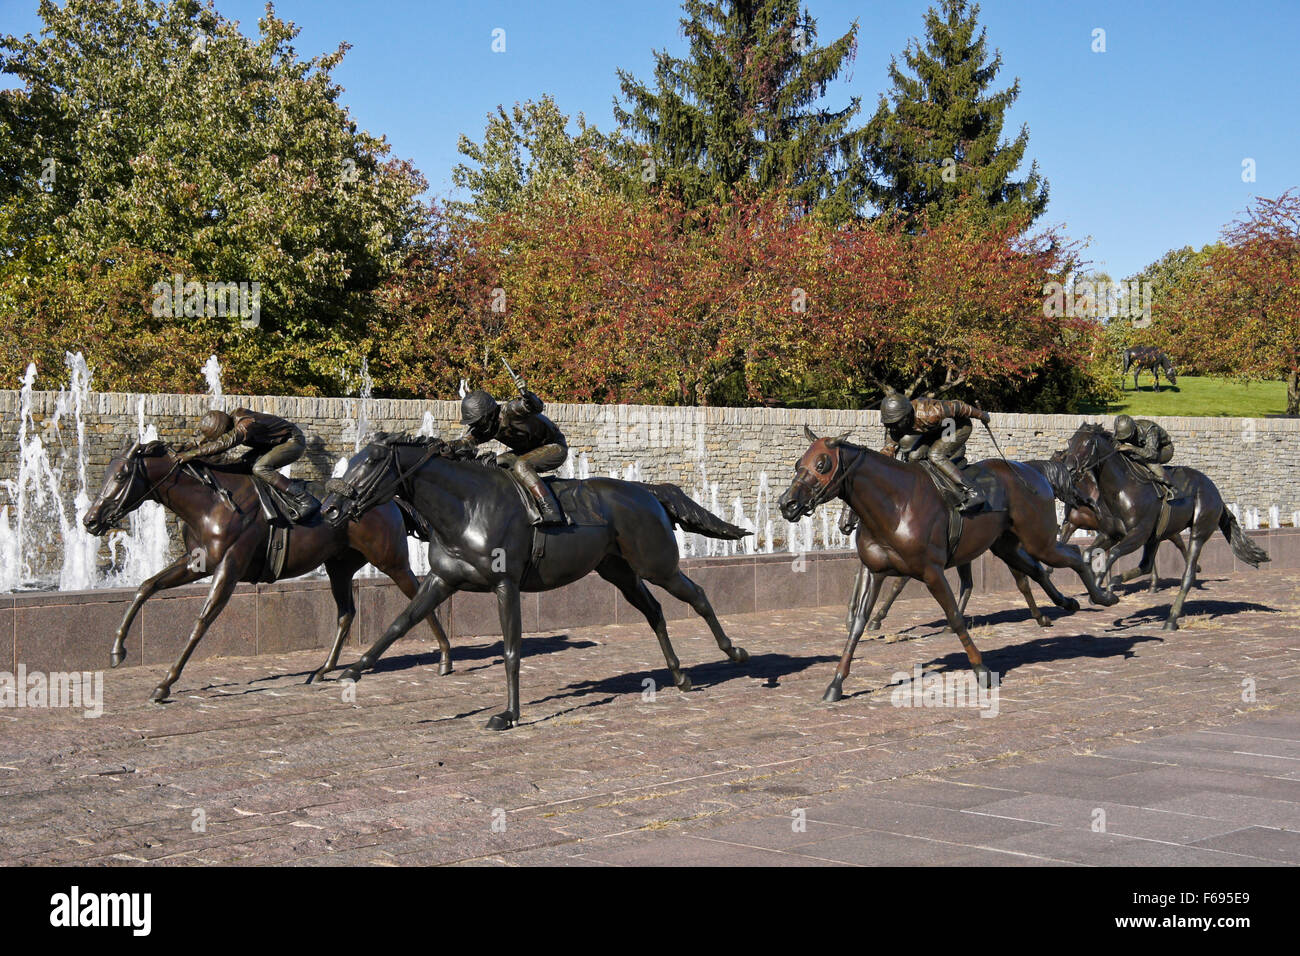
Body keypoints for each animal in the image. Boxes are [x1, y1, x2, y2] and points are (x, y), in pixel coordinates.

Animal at [82, 442, 452, 702]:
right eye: (106, 474)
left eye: (120, 475)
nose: (90, 520)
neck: (210, 504)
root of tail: (391, 500)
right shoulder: (196, 562)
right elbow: (146, 586)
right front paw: (117, 651)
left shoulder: (229, 567)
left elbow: (202, 620)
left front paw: (165, 683)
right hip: (339, 566)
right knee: (346, 612)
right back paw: (323, 669)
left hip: (391, 561)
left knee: (419, 598)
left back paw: (446, 657)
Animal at [780, 429, 1118, 697]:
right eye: (798, 464)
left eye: (822, 464)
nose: (787, 504)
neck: (895, 504)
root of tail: (1034, 470)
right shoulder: (875, 571)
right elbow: (858, 623)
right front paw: (836, 682)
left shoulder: (931, 572)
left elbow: (954, 617)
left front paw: (981, 670)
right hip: (1006, 545)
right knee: (1037, 569)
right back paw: (1064, 604)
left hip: (1039, 539)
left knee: (1072, 554)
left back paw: (1102, 595)